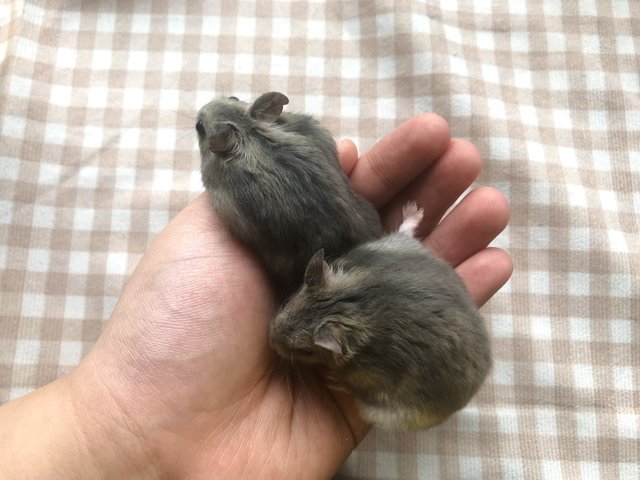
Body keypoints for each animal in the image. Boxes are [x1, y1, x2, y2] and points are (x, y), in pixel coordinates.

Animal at [268, 206, 490, 432]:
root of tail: (486, 368)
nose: (270, 341)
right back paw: (413, 211)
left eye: (304, 351)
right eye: (287, 303)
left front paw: (333, 380)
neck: (347, 304)